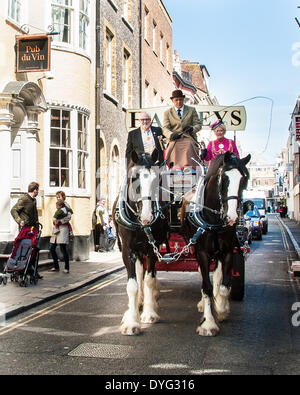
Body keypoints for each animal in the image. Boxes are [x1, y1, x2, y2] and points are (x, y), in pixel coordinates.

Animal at [113, 150, 169, 336]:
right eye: (133, 178)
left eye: (156, 179)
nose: (146, 217)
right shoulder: (128, 251)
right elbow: (133, 284)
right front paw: (131, 321)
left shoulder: (153, 249)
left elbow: (149, 280)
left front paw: (149, 313)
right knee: (138, 273)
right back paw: (137, 304)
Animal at [180, 152, 251, 338]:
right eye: (224, 178)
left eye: (244, 179)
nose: (232, 217)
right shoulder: (202, 252)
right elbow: (206, 286)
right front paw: (208, 323)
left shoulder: (227, 251)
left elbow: (224, 285)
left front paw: (221, 309)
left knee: (218, 277)